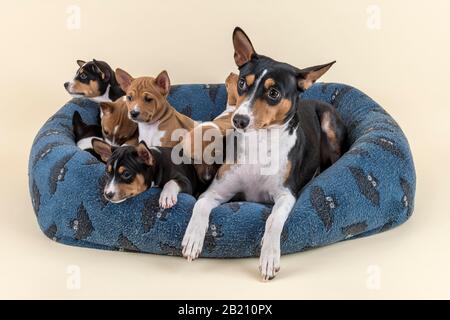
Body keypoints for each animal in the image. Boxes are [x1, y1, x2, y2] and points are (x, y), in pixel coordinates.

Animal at [181, 26, 346, 280]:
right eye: (241, 83)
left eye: (274, 93)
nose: (239, 120)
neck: (258, 143)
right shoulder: (217, 190)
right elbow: (199, 206)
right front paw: (192, 238)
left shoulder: (285, 195)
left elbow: (273, 219)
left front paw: (269, 256)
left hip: (329, 122)